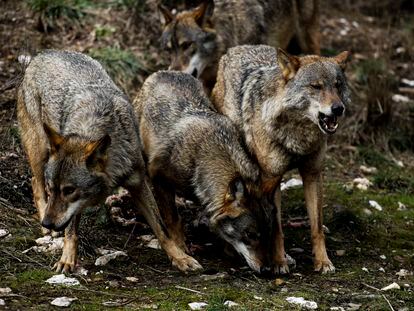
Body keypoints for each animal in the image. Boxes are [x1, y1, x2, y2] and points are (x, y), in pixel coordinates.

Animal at [136, 71, 278, 276]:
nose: (267, 269)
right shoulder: (159, 178)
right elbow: (172, 219)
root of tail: (165, 71)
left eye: (268, 234)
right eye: (250, 235)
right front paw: (181, 248)